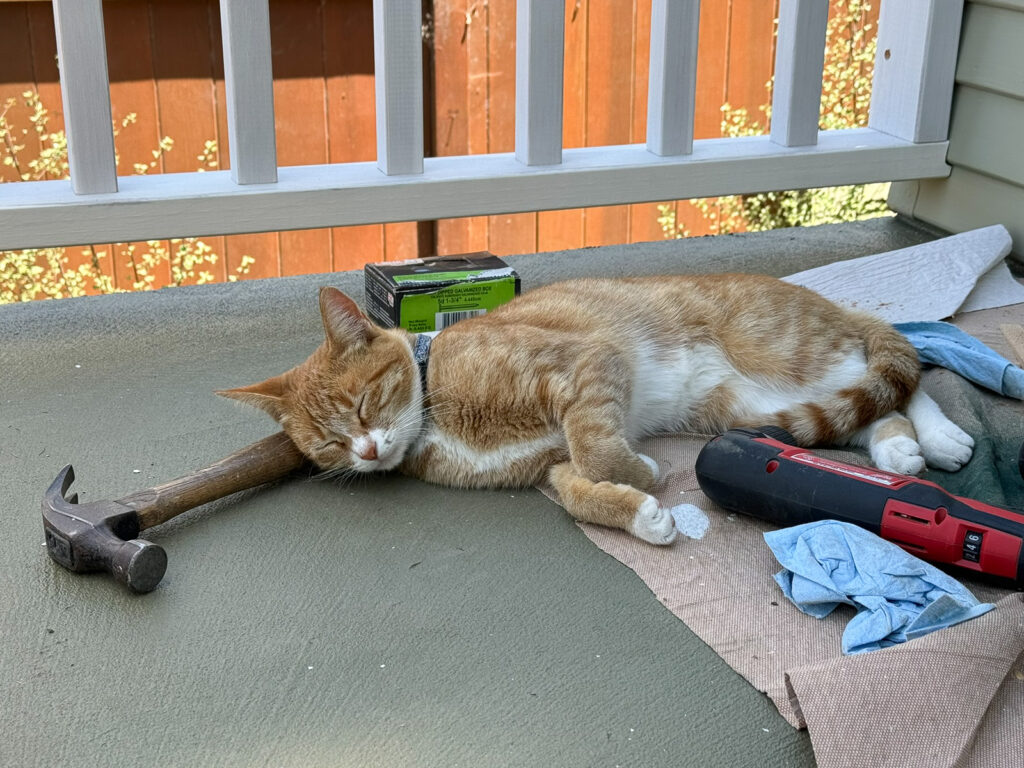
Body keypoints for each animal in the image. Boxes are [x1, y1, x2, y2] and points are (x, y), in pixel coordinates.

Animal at [220, 276, 970, 548]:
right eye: (328, 443)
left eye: (364, 403)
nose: (368, 451)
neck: (436, 413)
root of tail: (829, 302)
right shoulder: (548, 467)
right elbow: (582, 490)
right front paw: (642, 514)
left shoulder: (585, 365)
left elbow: (599, 446)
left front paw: (643, 473)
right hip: (754, 401)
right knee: (871, 408)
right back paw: (901, 449)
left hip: (794, 355)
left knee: (904, 372)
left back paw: (942, 438)